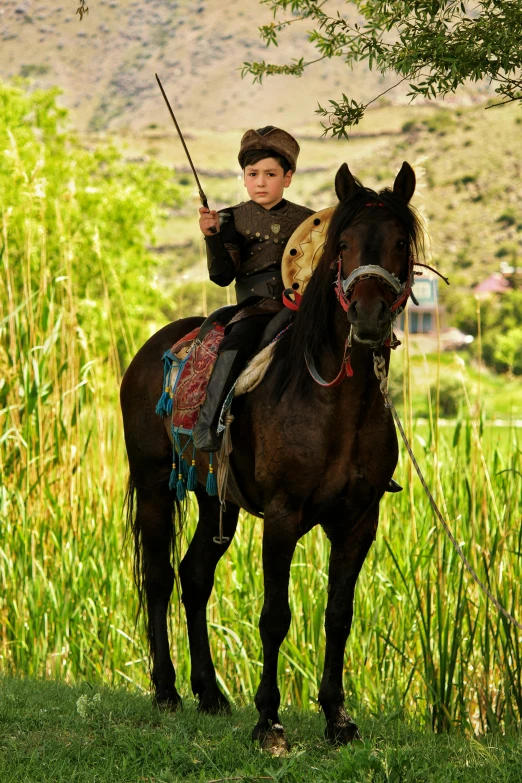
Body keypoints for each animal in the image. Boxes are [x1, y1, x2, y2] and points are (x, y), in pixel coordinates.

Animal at [121, 161, 422, 752]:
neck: (335, 402)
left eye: (400, 242)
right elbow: (275, 616)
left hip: (217, 501)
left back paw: (209, 693)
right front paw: (269, 722)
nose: (369, 319)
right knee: (160, 576)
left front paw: (337, 717)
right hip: (153, 484)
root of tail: (153, 348)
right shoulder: (283, 518)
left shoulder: (359, 521)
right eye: (343, 243)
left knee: (194, 576)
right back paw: (166, 690)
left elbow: (338, 614)